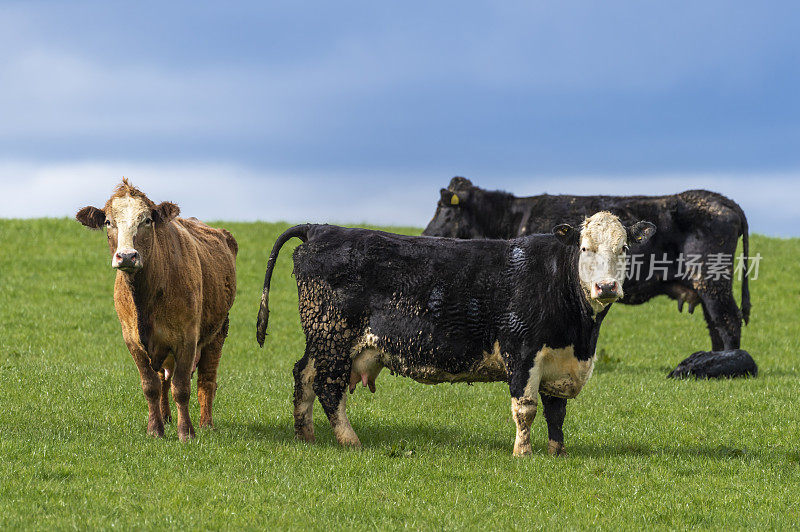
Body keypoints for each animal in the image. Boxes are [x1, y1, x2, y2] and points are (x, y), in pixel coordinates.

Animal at [75, 179, 238, 440]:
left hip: (219, 331)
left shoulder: (187, 338)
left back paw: (206, 424)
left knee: (207, 379)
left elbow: (182, 388)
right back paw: (167, 418)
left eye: (147, 220)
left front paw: (186, 432)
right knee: (163, 381)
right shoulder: (132, 340)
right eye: (109, 222)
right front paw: (155, 429)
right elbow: (150, 386)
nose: (127, 256)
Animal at [256, 212, 656, 458]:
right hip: (334, 336)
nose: (607, 287)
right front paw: (523, 454)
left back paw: (306, 437)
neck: (579, 334)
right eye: (585, 248)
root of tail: (319, 228)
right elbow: (526, 409)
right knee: (328, 387)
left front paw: (557, 453)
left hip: (322, 339)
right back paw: (350, 441)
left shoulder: (560, 363)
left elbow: (556, 413)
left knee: (304, 376)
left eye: (623, 248)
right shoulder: (521, 352)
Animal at [424, 177, 752, 356]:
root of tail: (724, 201)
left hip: (712, 279)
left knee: (727, 320)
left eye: (445, 209)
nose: (427, 235)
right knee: (716, 323)